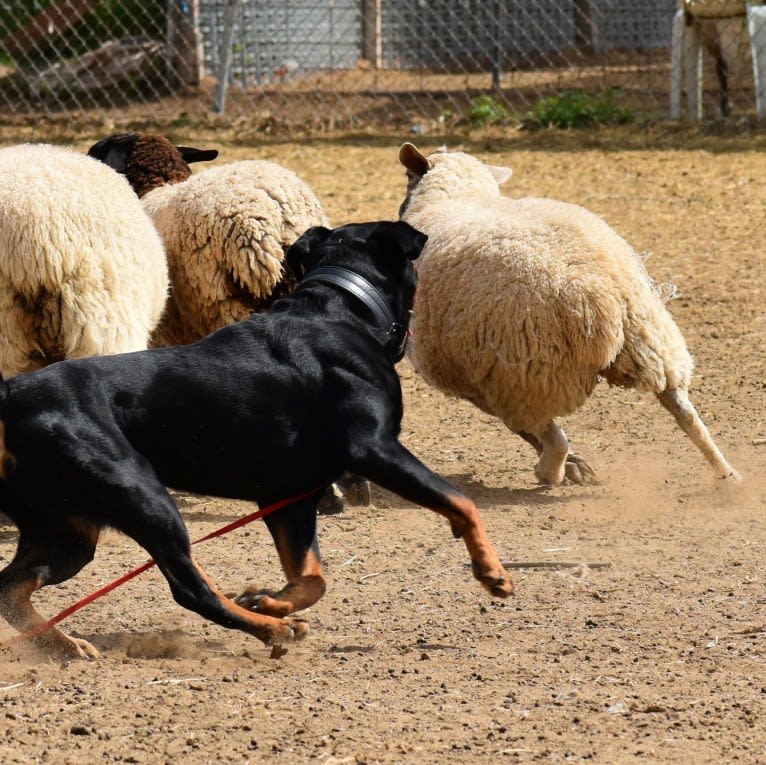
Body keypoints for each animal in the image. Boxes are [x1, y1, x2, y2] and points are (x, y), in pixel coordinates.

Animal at [400, 142, 740, 484]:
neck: (455, 198)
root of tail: (608, 294)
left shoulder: (477, 378)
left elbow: (525, 431)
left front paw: (572, 465)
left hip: (527, 375)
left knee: (552, 435)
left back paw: (551, 471)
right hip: (656, 344)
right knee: (684, 411)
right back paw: (728, 474)